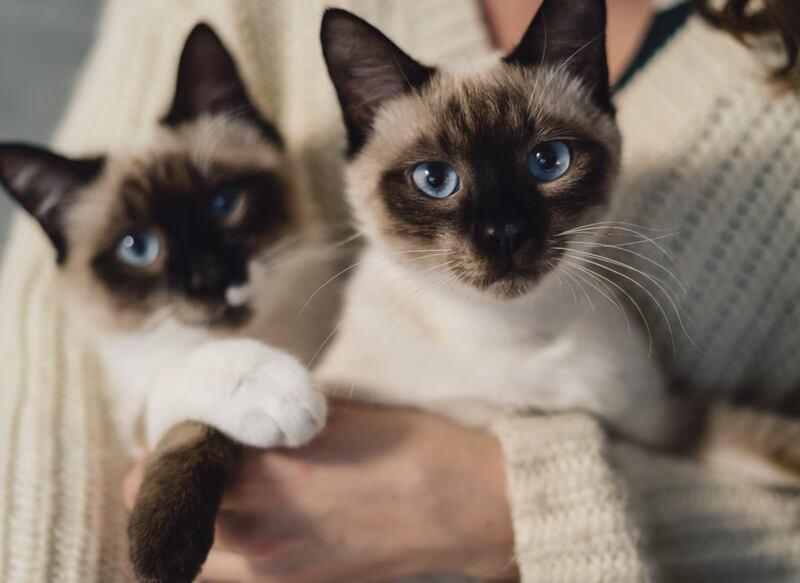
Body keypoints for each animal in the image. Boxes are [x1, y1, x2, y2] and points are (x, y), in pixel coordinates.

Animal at [0, 22, 334, 583]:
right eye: (138, 248)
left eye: (224, 204)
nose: (212, 280)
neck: (269, 334)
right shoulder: (139, 417)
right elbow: (191, 396)